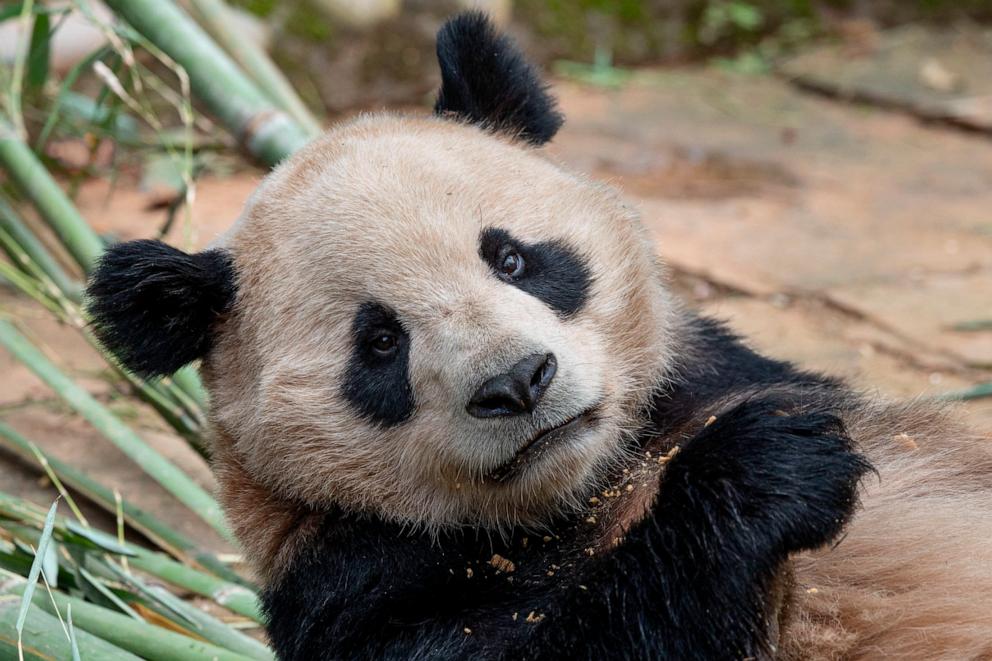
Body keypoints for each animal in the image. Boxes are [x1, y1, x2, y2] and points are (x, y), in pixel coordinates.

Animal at [87, 11, 992, 660]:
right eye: (380, 344)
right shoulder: (354, 586)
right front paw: (763, 467)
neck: (583, 489)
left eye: (513, 258)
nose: (518, 382)